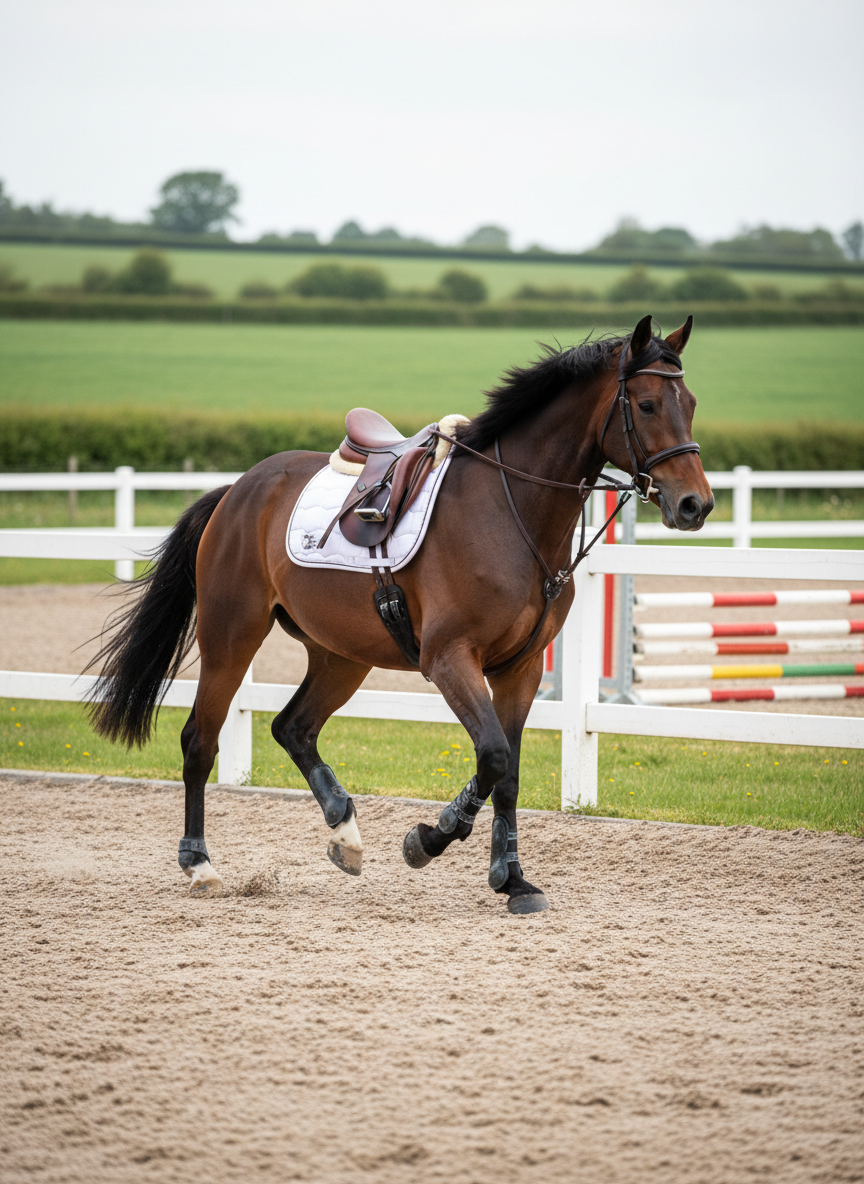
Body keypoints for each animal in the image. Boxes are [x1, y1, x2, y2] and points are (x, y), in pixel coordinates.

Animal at [88, 314, 713, 914]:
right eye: (647, 404)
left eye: (691, 403)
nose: (696, 505)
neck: (510, 507)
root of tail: (239, 488)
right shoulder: (449, 659)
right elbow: (492, 757)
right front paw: (430, 839)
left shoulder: (522, 668)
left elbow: (507, 773)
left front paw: (513, 880)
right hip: (231, 637)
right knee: (201, 740)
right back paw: (200, 865)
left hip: (341, 655)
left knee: (293, 727)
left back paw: (344, 832)